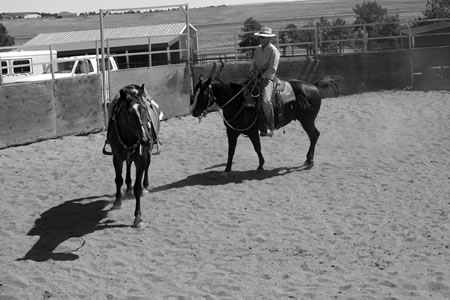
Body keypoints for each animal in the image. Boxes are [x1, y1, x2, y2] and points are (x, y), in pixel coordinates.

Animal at [103, 84, 162, 227]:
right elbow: (118, 180)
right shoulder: (117, 158)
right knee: (128, 165)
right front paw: (117, 202)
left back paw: (145, 187)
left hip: (148, 152)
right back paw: (128, 186)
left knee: (147, 167)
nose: (145, 139)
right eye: (129, 113)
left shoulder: (141, 160)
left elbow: (137, 188)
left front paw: (138, 218)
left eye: (144, 109)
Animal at [190, 62, 342, 172]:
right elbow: (231, 150)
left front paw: (261, 165)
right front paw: (227, 169)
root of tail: (313, 86)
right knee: (314, 135)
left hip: (307, 121)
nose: (194, 112)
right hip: (307, 121)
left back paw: (309, 160)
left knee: (314, 136)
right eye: (195, 92)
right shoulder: (231, 132)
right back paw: (308, 159)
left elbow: (257, 148)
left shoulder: (252, 131)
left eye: (202, 93)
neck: (239, 101)